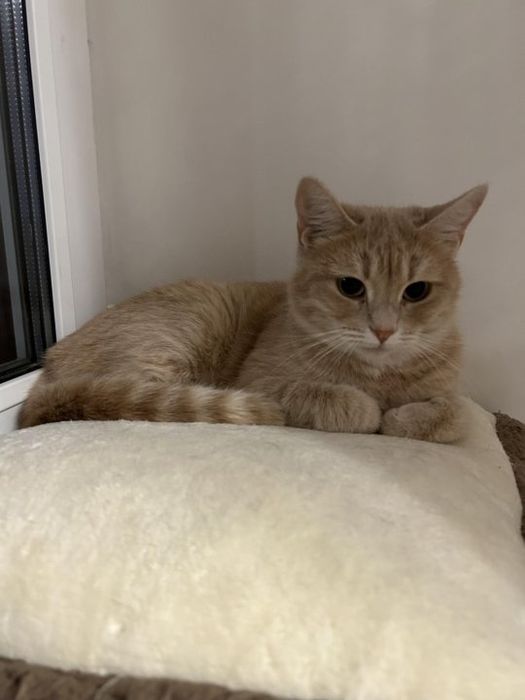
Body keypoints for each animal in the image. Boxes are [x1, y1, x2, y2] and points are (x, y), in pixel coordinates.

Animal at [19, 177, 488, 443]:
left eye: (417, 291)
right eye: (351, 286)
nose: (384, 330)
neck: (378, 375)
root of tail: (51, 363)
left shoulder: (453, 396)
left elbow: (455, 414)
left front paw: (403, 416)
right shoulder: (264, 383)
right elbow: (346, 403)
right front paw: (373, 412)